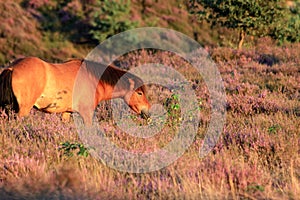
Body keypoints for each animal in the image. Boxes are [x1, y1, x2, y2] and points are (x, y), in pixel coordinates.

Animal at [0, 56, 150, 125]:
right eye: (140, 93)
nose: (147, 111)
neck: (92, 79)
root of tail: (12, 68)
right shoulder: (86, 114)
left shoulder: (67, 113)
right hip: (23, 110)